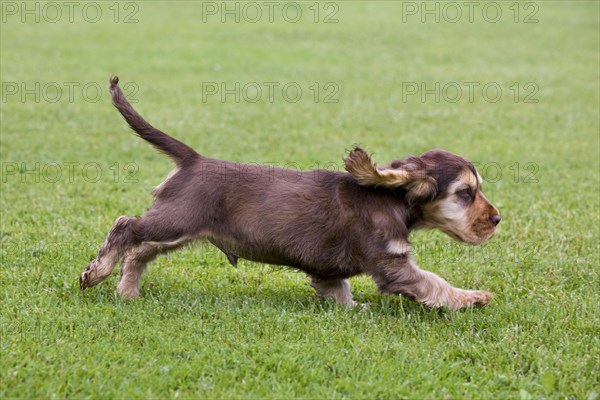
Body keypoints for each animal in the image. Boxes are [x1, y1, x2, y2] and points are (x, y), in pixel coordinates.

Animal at [81, 77, 502, 310]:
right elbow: (435, 283)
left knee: (138, 251)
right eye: (466, 193)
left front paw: (351, 309)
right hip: (175, 222)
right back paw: (97, 273)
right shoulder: (392, 265)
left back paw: (127, 290)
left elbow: (339, 291)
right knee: (125, 227)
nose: (497, 219)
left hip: (176, 232)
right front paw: (473, 297)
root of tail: (195, 159)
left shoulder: (330, 271)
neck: (387, 196)